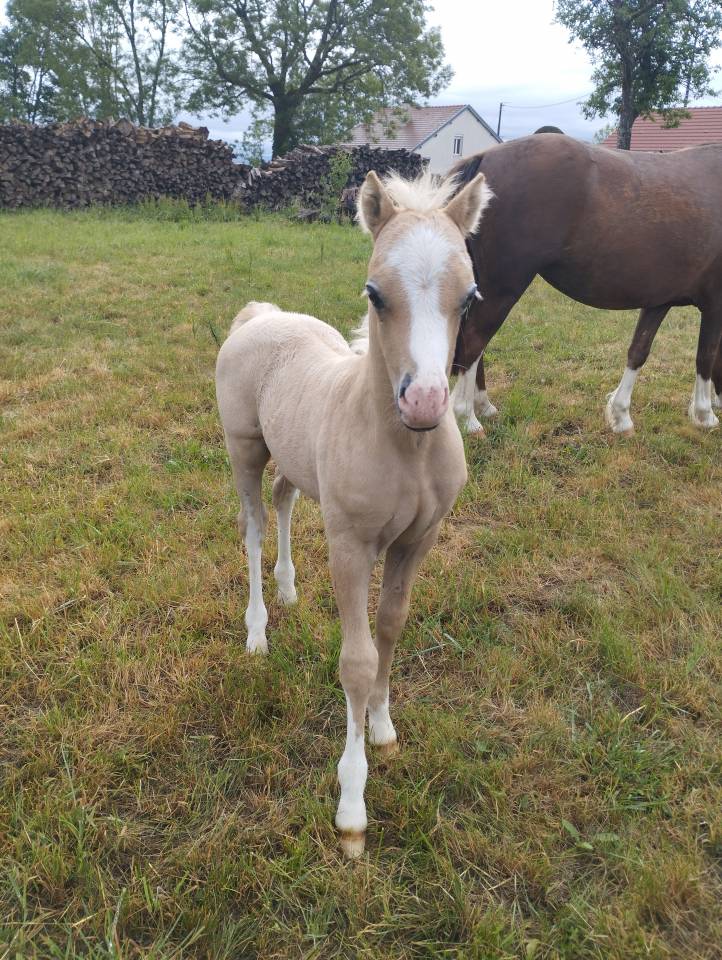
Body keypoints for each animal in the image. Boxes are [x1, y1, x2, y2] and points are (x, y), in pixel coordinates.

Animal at [215, 169, 491, 857]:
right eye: (374, 293)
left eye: (470, 296)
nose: (425, 401)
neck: (406, 448)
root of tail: (261, 315)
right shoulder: (349, 546)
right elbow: (357, 661)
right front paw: (351, 807)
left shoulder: (418, 540)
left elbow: (392, 624)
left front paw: (385, 726)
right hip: (243, 448)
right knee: (253, 528)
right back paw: (258, 631)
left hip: (293, 455)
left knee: (284, 499)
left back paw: (288, 590)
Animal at [449, 133, 722, 435]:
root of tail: (485, 158)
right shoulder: (714, 305)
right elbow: (706, 357)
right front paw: (705, 414)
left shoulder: (659, 301)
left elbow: (638, 352)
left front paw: (620, 415)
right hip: (503, 288)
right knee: (474, 341)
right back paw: (467, 418)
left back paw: (483, 405)